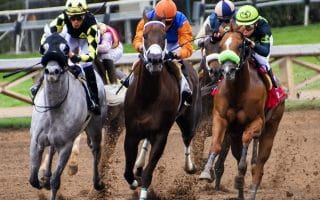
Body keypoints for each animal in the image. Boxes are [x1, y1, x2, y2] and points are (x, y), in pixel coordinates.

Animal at [28, 32, 107, 199]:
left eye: (65, 49)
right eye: (44, 48)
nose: (52, 71)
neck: (54, 109)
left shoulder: (66, 146)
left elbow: (55, 181)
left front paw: (49, 182)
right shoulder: (36, 141)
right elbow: (33, 179)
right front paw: (43, 180)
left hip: (96, 126)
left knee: (96, 150)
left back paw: (97, 182)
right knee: (51, 149)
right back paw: (46, 174)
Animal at [122, 18, 200, 198]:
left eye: (164, 36)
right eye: (144, 35)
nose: (155, 60)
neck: (148, 96)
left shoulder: (161, 134)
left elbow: (149, 172)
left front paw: (143, 192)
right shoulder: (131, 133)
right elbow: (127, 172)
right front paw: (134, 180)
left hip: (188, 119)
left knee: (187, 138)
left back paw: (189, 166)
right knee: (145, 143)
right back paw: (138, 165)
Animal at [200, 30, 284, 200]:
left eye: (240, 46)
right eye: (221, 46)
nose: (227, 70)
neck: (238, 90)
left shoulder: (257, 121)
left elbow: (246, 142)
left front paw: (240, 172)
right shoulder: (220, 119)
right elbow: (215, 144)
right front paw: (206, 171)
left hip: (271, 127)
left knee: (259, 163)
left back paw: (251, 190)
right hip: (234, 134)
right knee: (238, 153)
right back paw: (240, 190)